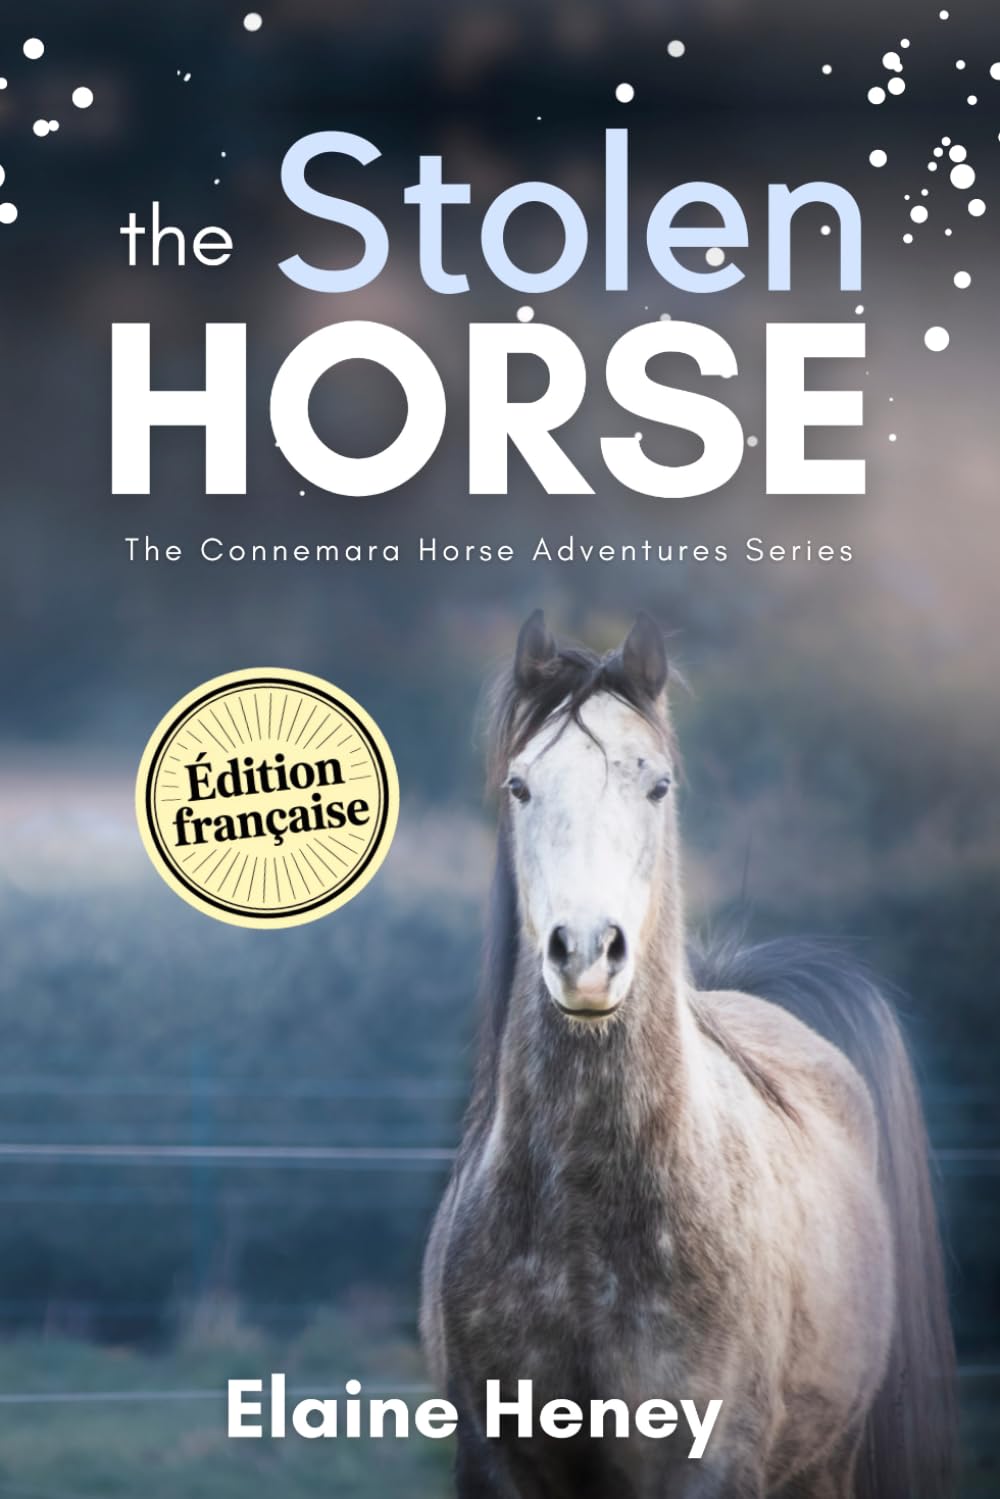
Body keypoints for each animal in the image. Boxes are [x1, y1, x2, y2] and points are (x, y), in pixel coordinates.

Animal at [421, 611, 955, 1499]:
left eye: (658, 785)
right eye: (520, 786)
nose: (586, 954)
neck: (587, 1229)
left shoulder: (711, 1464)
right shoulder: (494, 1463)